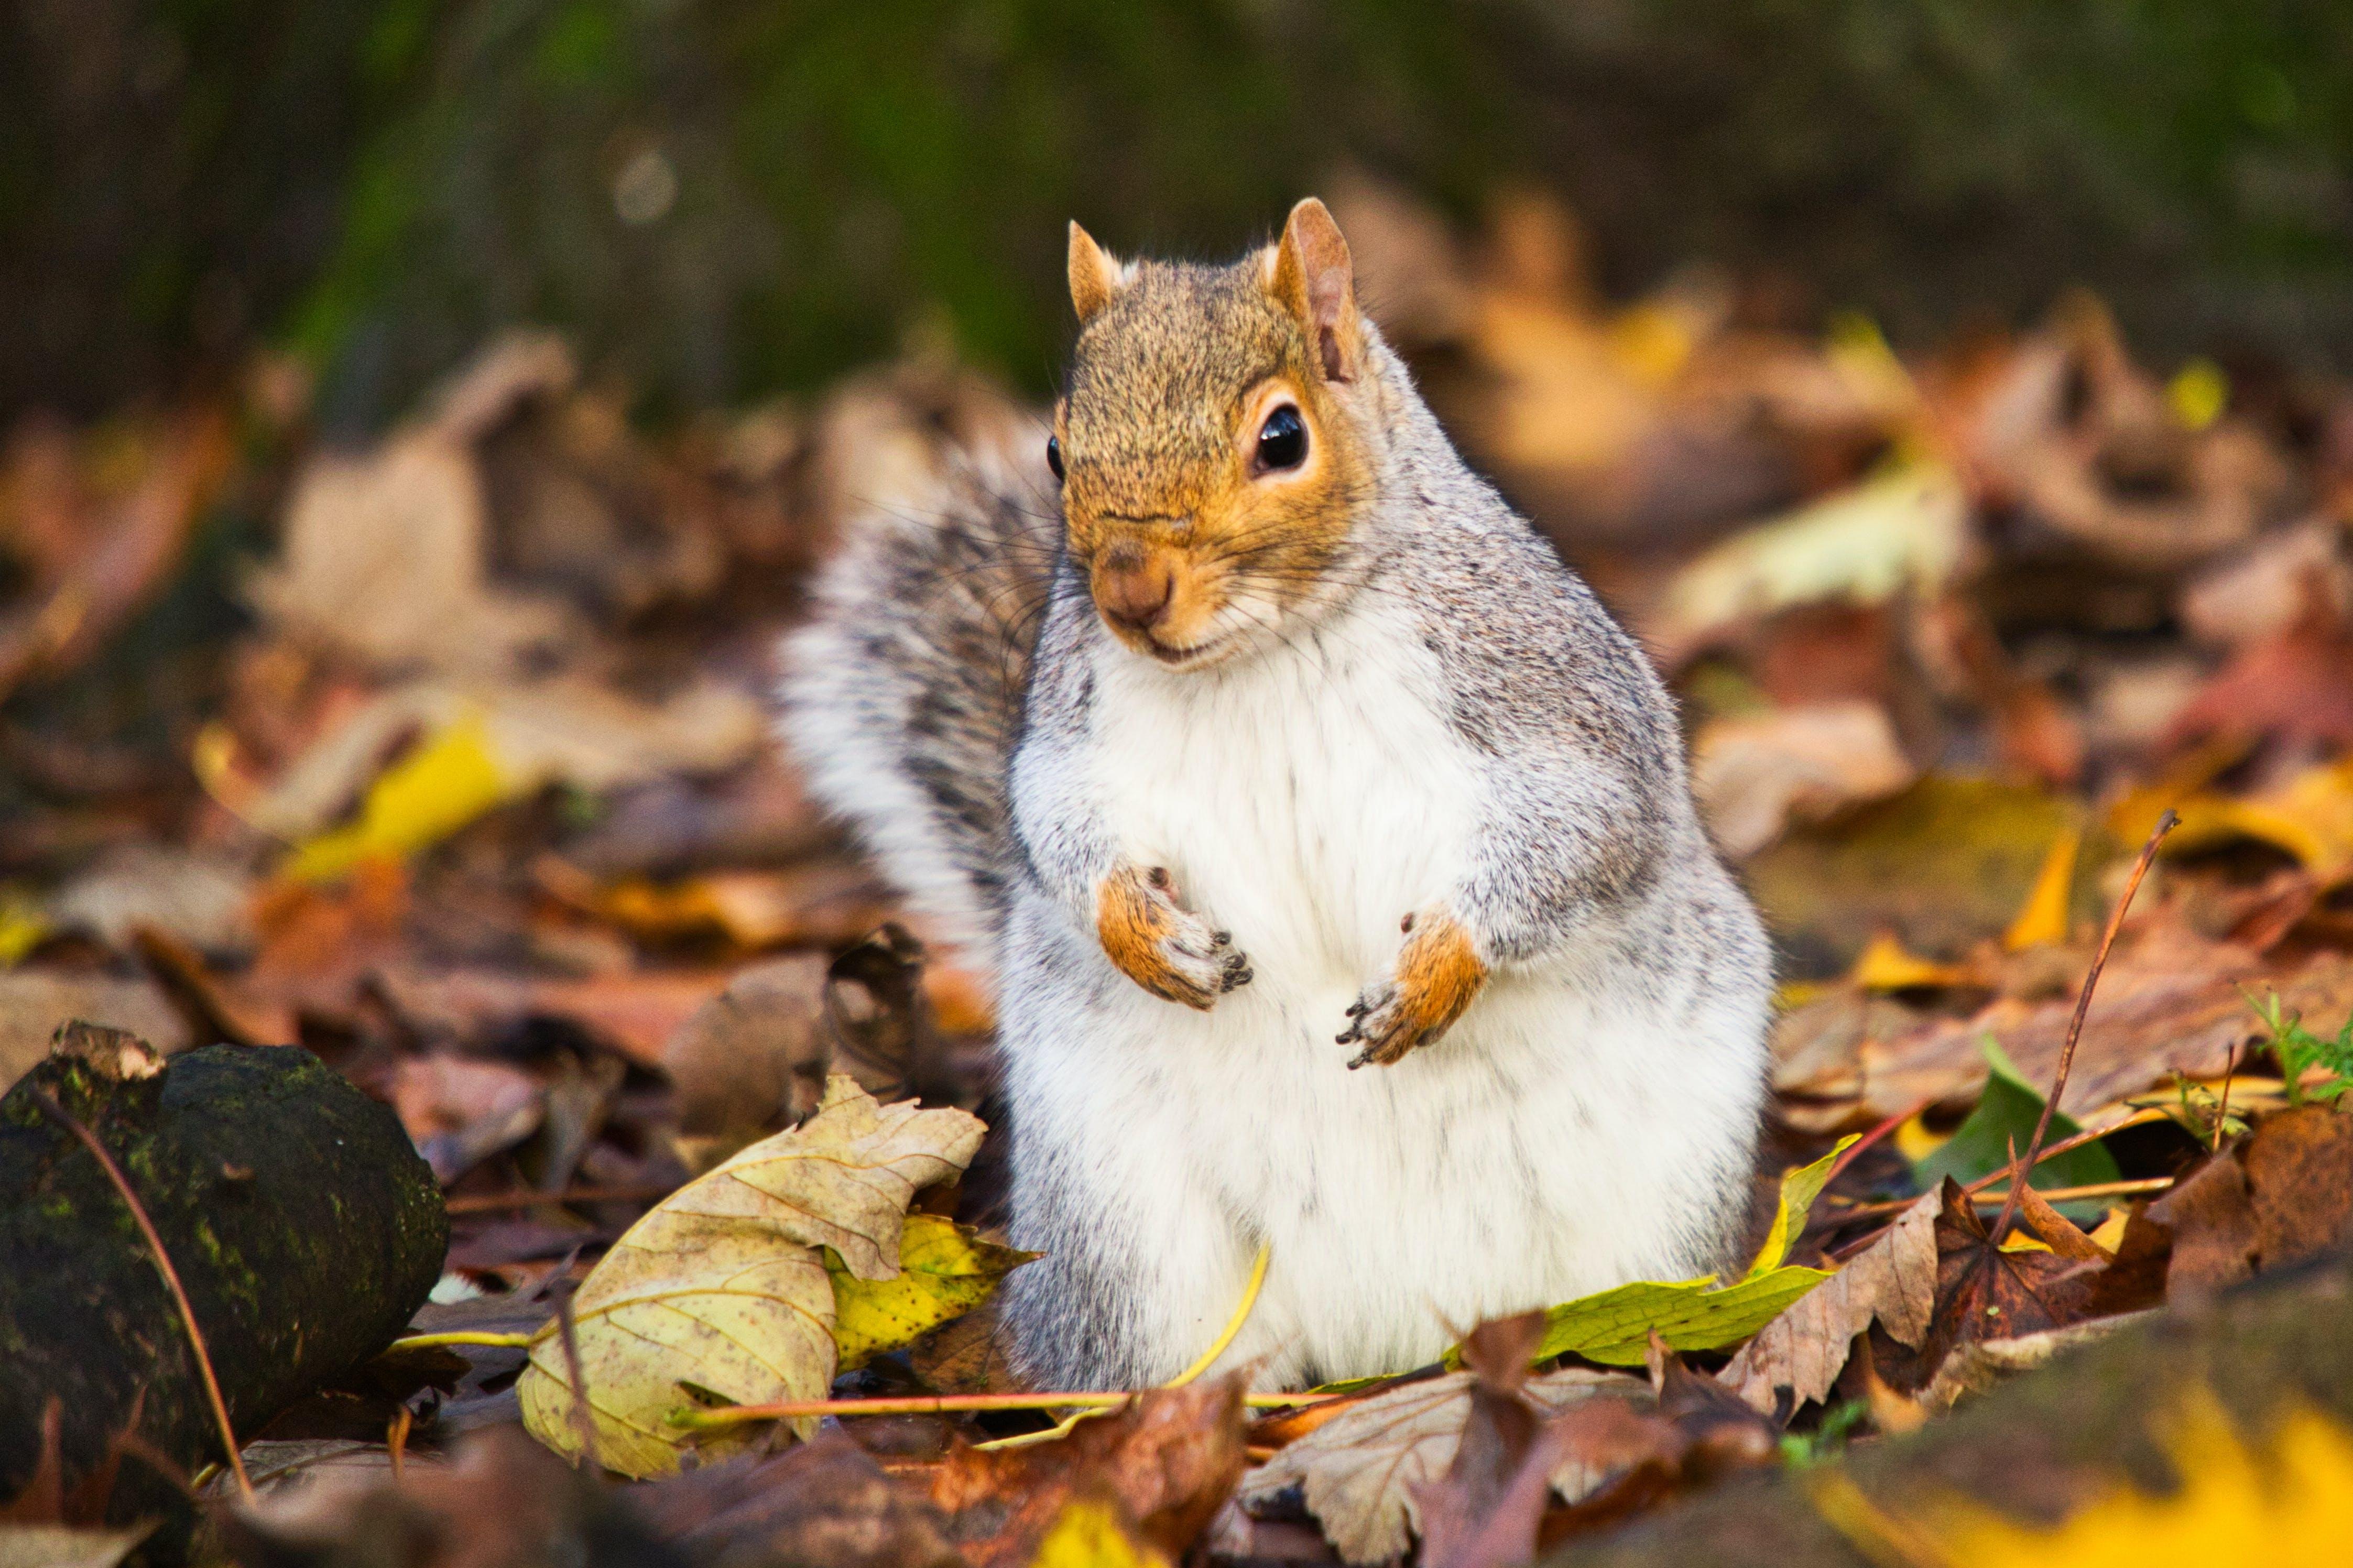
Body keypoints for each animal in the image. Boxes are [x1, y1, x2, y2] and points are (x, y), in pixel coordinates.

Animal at [786, 199, 1769, 1393]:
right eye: (1058, 448)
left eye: (1283, 439)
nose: (1128, 588)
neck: (1263, 654)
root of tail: (1390, 1334)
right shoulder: (1071, 730)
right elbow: (1055, 826)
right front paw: (1143, 933)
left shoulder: (1552, 694)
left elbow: (1589, 827)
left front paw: (1438, 970)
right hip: (1129, 1235)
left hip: (1653, 1197)